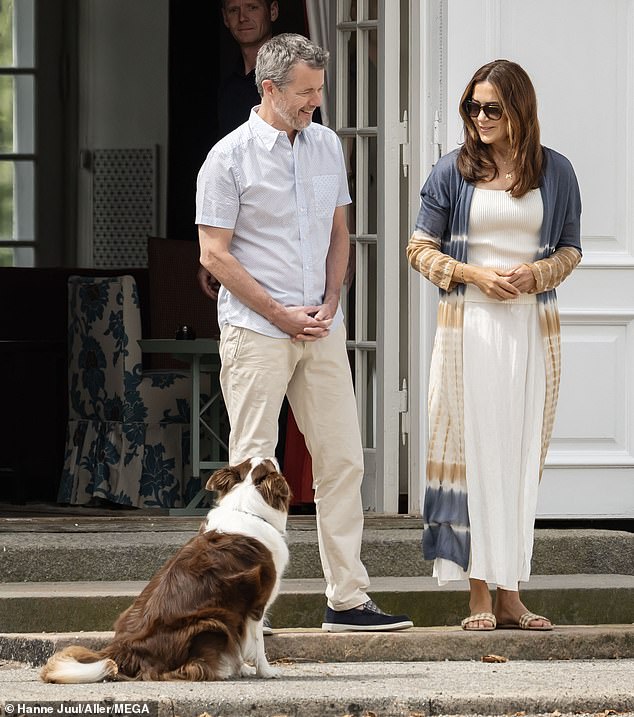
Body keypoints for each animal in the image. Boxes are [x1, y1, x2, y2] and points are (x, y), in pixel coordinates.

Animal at [40, 458, 292, 684]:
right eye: (272, 464)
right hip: (211, 621)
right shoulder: (255, 604)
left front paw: (245, 669)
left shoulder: (237, 611)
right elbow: (257, 644)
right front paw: (266, 672)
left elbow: (239, 644)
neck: (245, 507)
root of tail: (125, 649)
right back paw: (216, 670)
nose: (275, 456)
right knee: (177, 670)